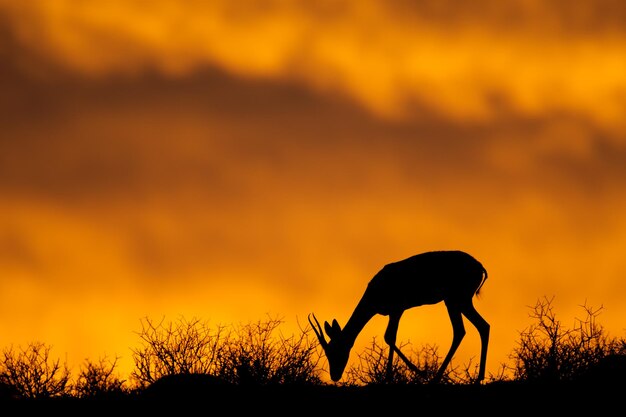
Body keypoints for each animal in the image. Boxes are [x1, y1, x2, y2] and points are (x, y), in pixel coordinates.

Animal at [308, 250, 488, 384]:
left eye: (335, 349)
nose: (334, 376)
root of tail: (479, 266)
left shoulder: (397, 309)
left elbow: (389, 337)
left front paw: (417, 373)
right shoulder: (393, 312)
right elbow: (390, 337)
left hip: (456, 301)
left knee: (469, 329)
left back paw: (440, 378)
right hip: (455, 302)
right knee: (474, 328)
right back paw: (475, 378)